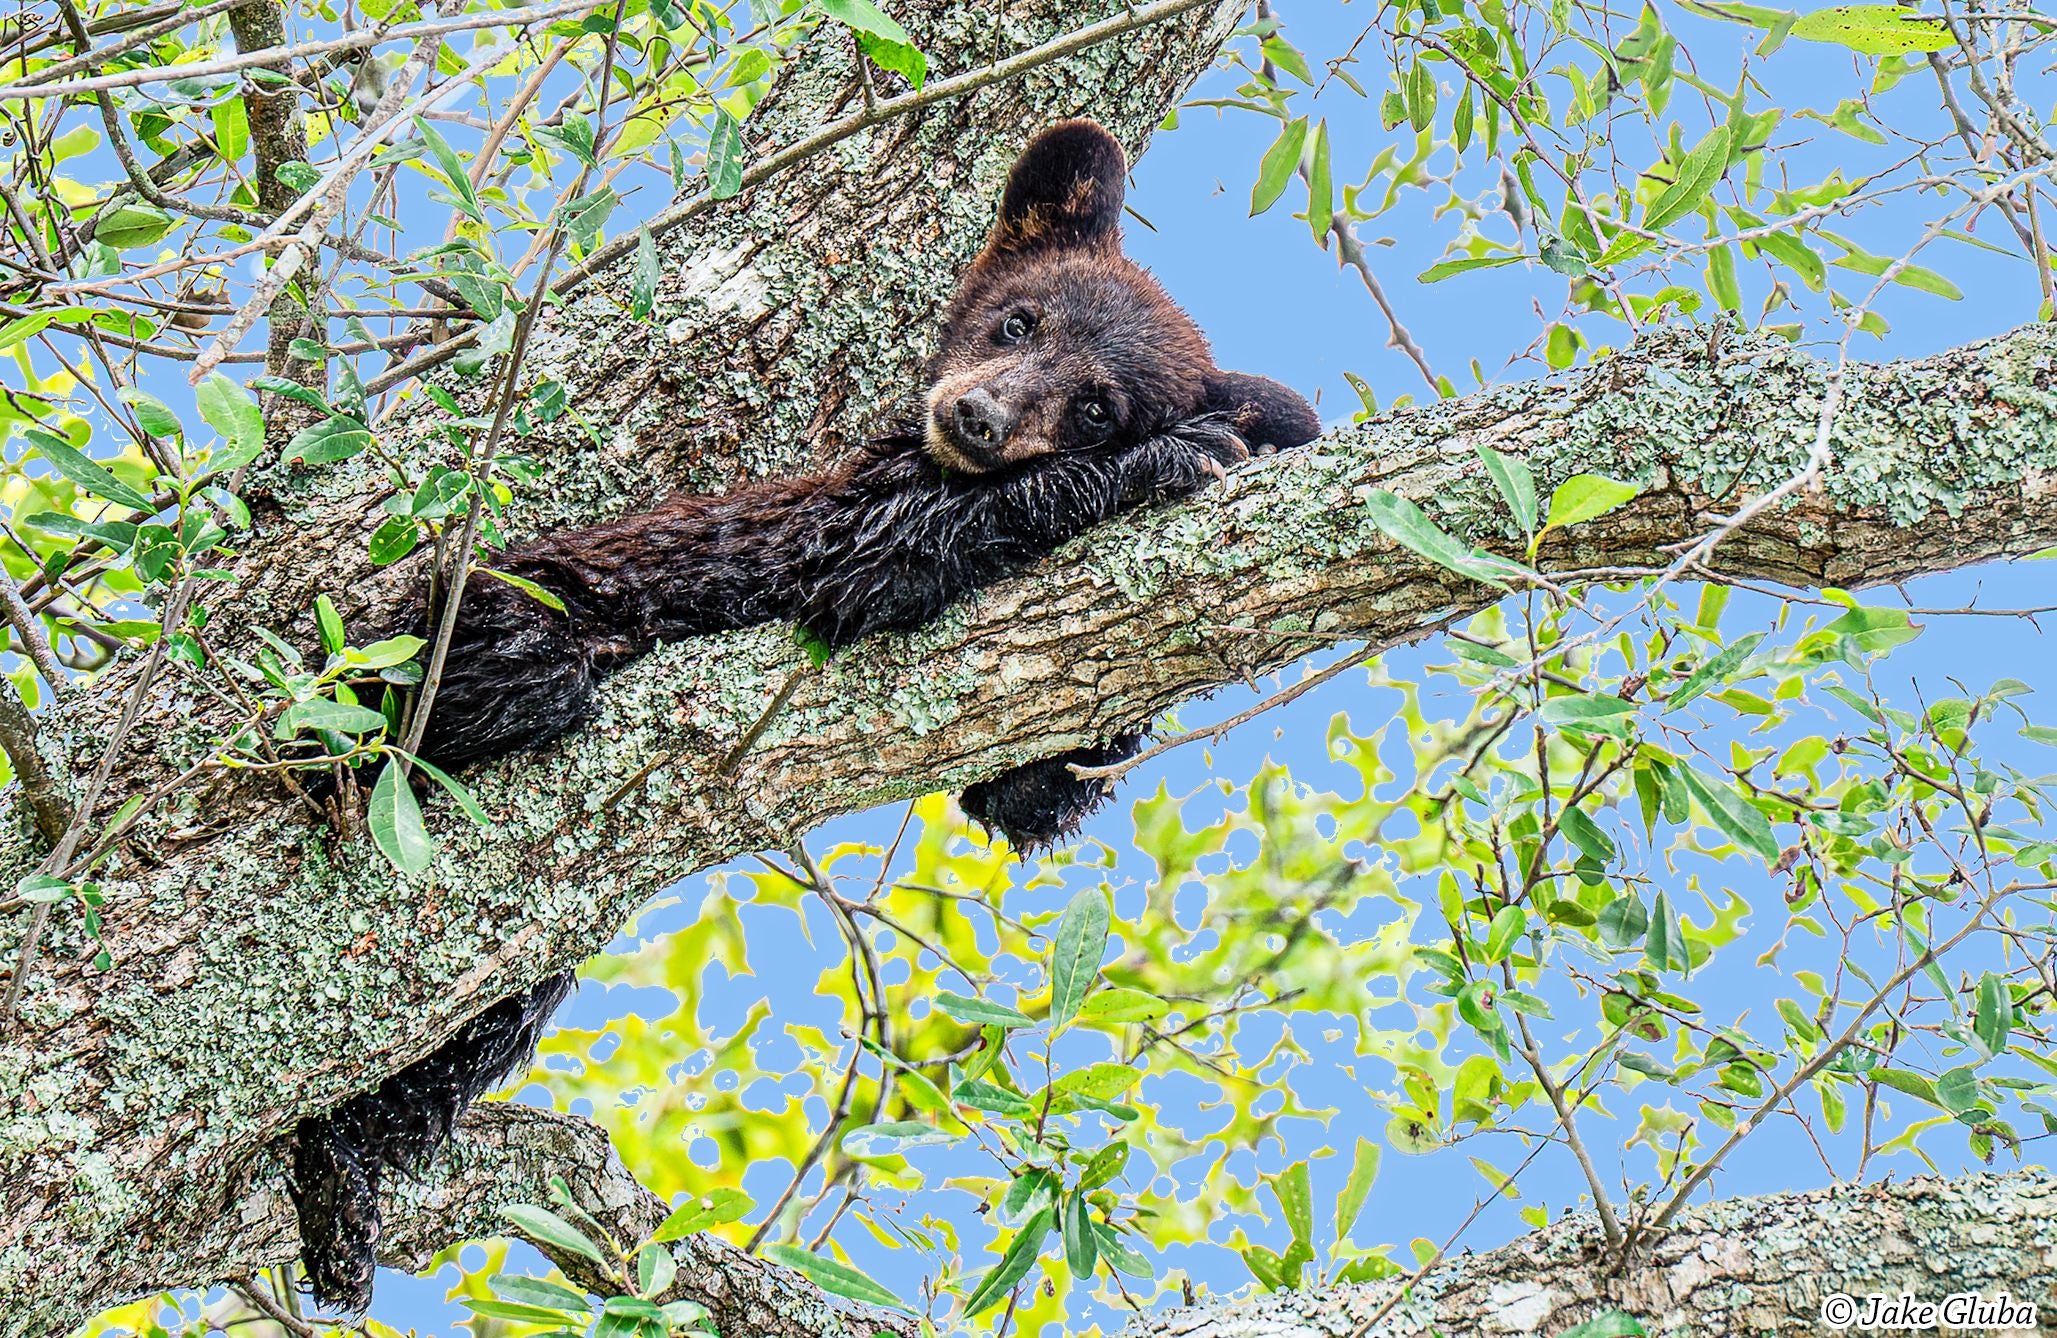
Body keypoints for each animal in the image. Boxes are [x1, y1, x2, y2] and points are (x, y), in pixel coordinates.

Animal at [287, 118, 1320, 1312]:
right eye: (1019, 320)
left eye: (1096, 403)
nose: (977, 416)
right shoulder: (829, 512)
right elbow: (879, 549)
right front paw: (1181, 454)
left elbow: (1018, 797)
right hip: (450, 627)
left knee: (475, 1021)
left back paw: (345, 1175)